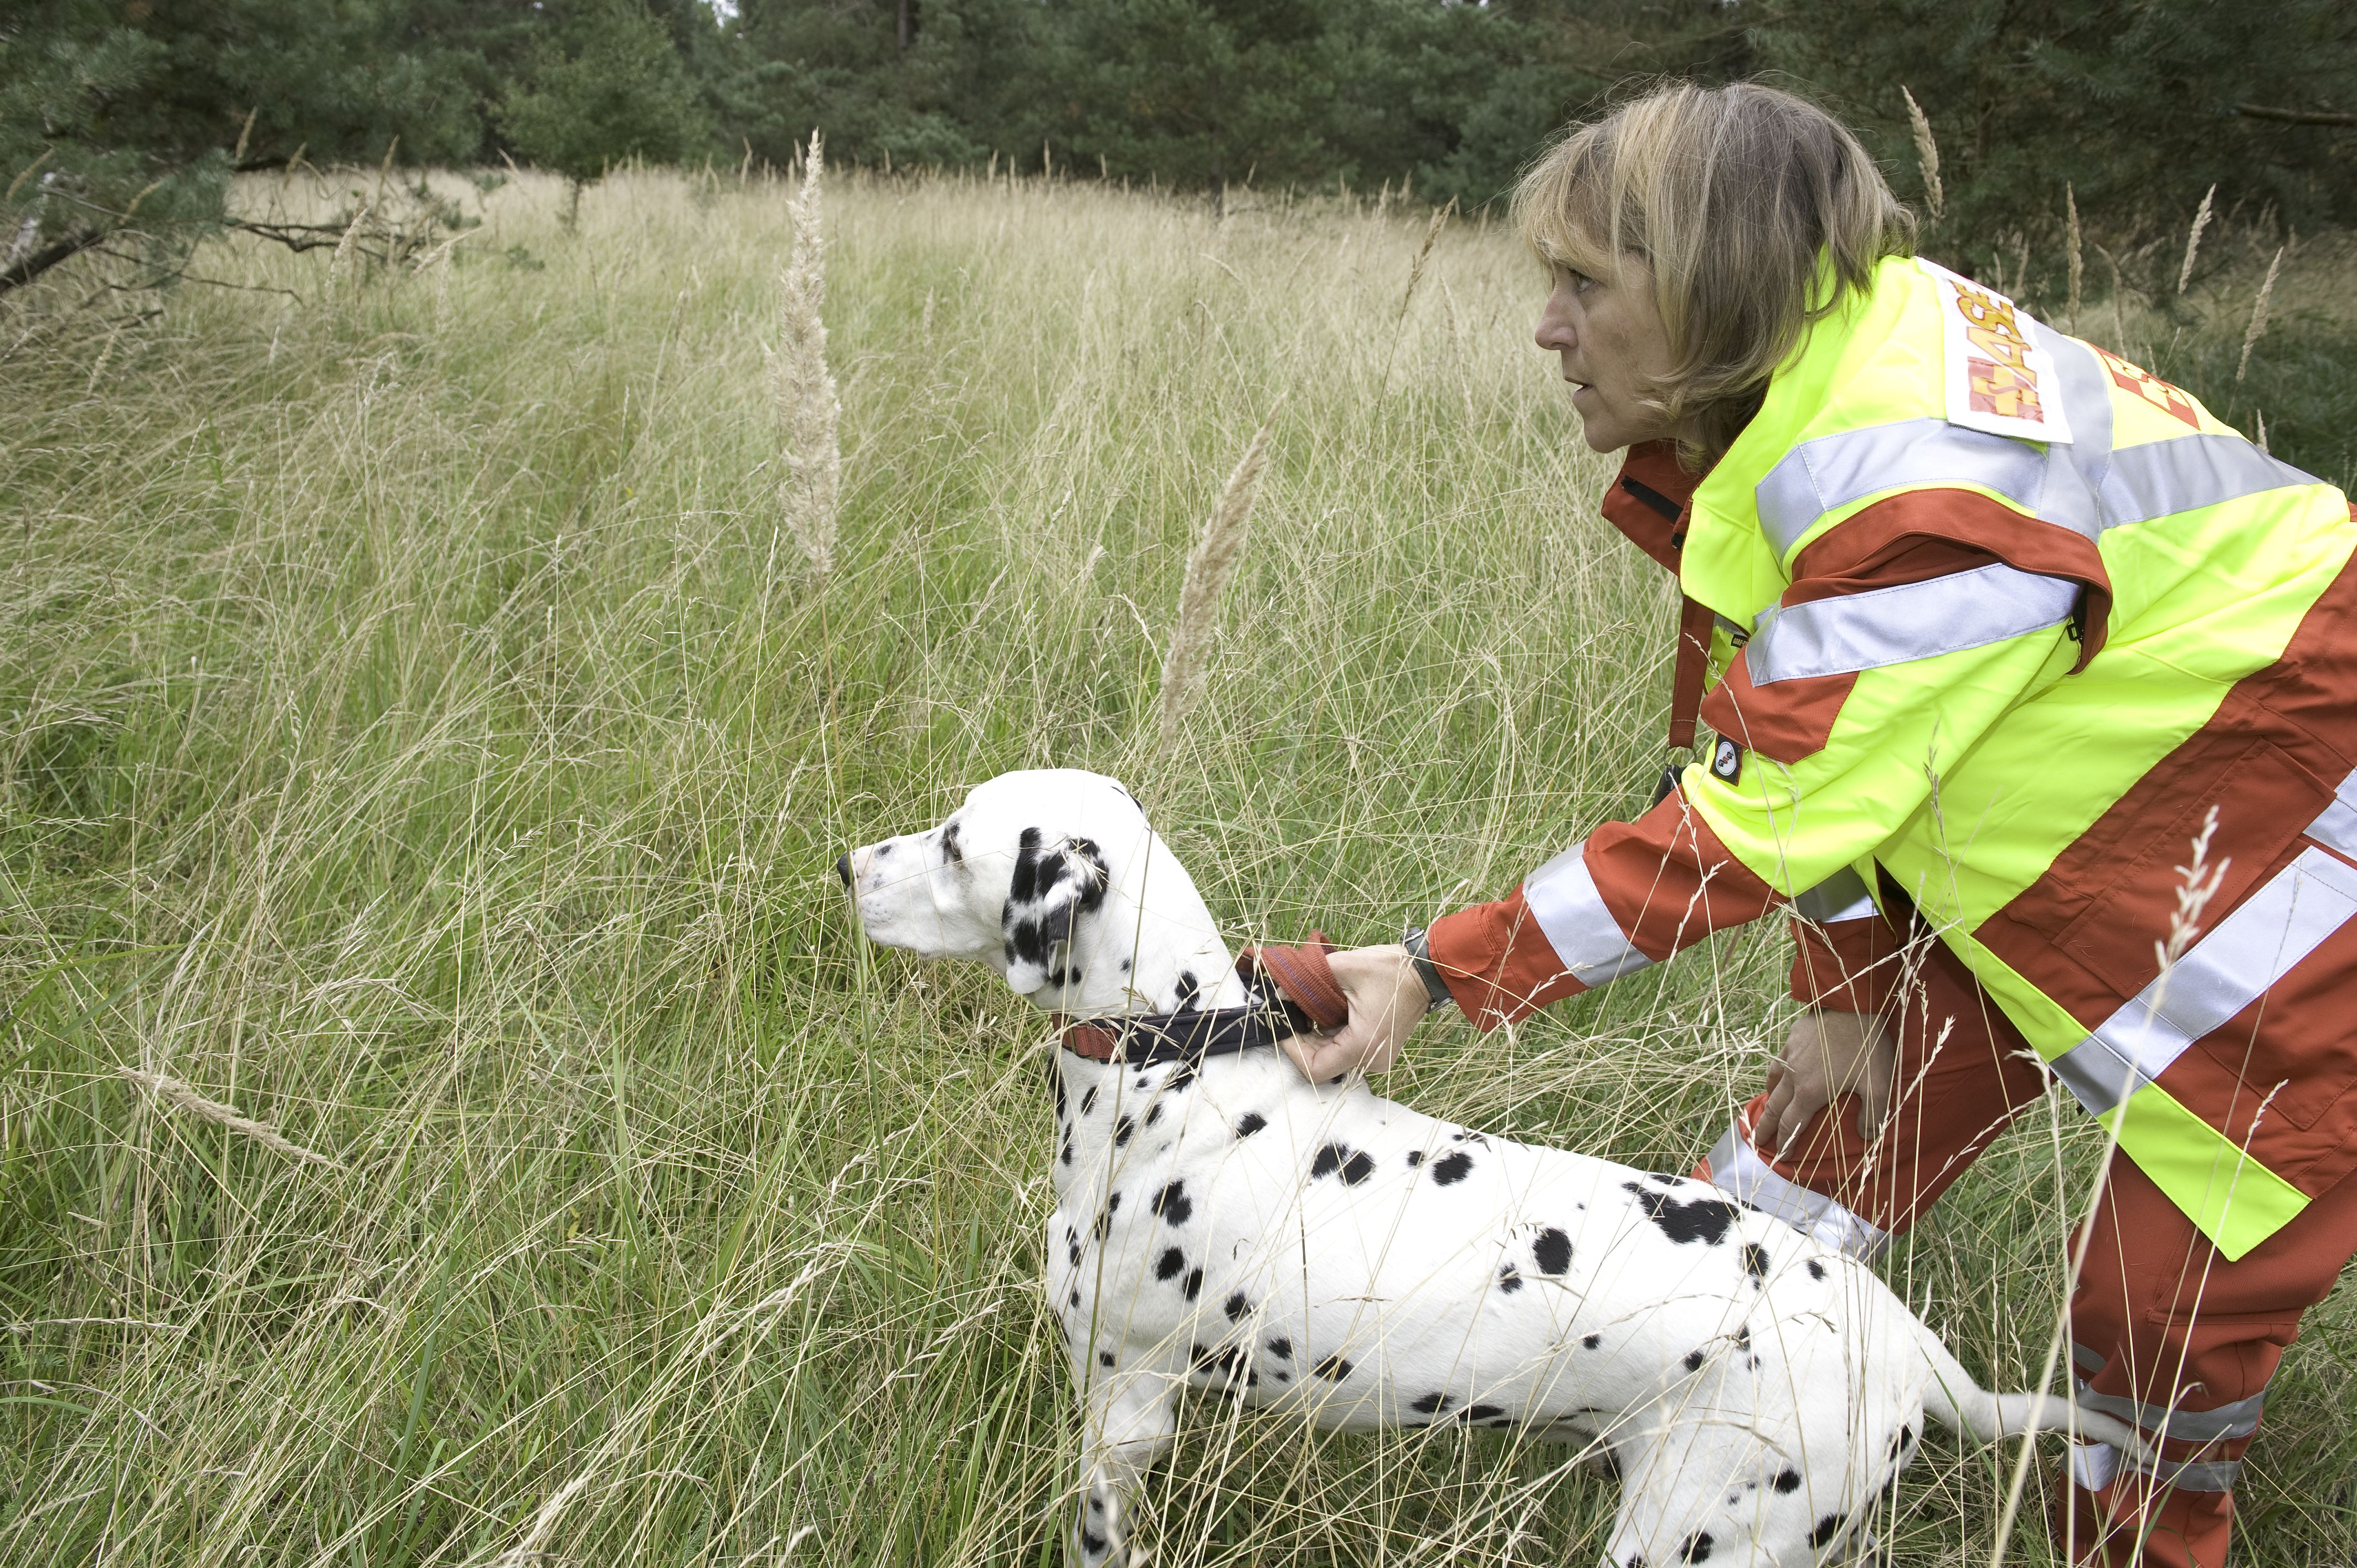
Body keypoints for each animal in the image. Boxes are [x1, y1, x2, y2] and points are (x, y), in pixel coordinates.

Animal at [839, 768, 2149, 1565]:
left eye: (952, 843)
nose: (847, 862)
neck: (1180, 1068)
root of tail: (1912, 1348)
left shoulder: (1123, 1410)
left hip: (1695, 1539)